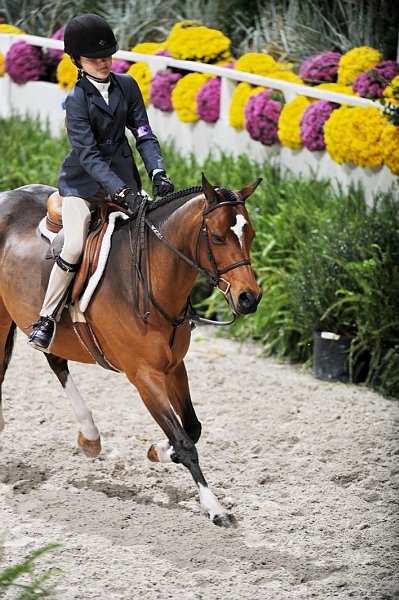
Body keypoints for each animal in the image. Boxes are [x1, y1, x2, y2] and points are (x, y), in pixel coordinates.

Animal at [0, 173, 262, 524]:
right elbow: (185, 442)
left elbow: (192, 428)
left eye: (251, 234)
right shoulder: (144, 376)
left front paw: (159, 451)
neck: (150, 279)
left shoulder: (174, 367)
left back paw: (90, 437)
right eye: (218, 237)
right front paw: (214, 507)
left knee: (56, 360)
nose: (249, 298)